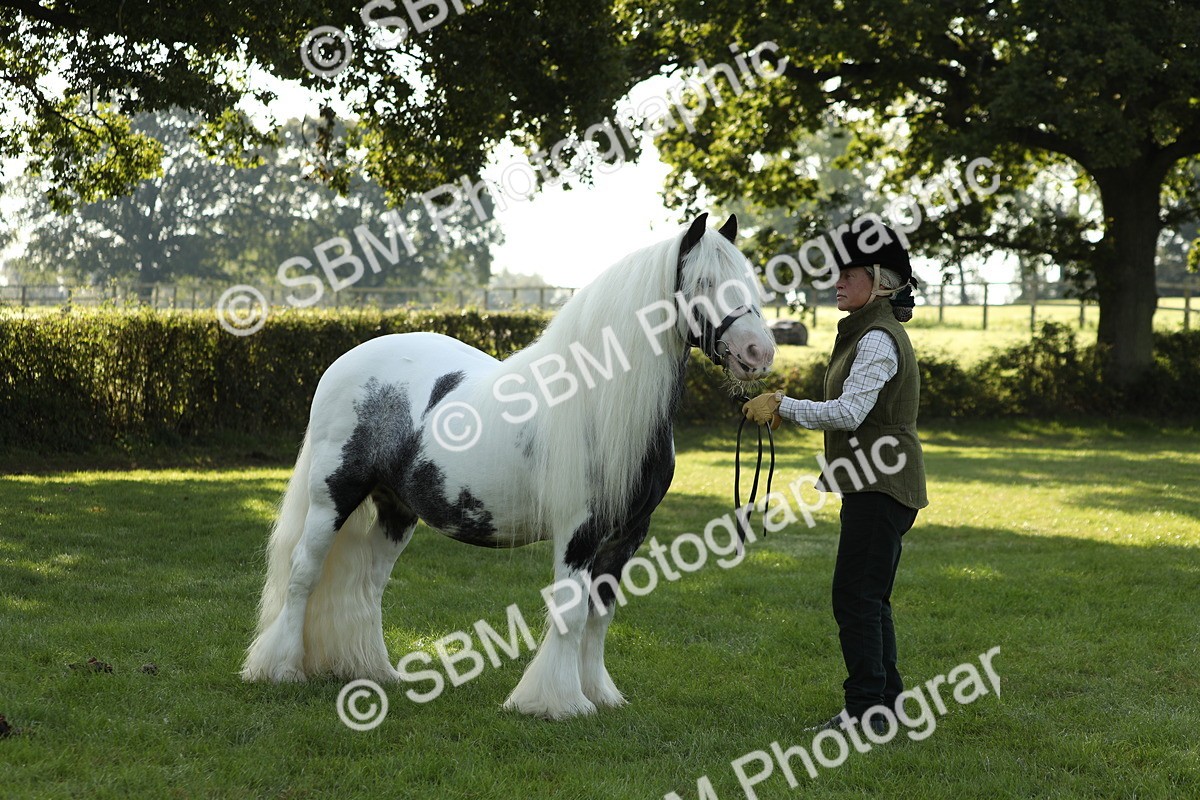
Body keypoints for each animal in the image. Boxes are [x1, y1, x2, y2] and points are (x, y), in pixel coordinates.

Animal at [240, 213, 776, 719]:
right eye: (704, 282)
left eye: (747, 279)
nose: (759, 353)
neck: (601, 402)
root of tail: (344, 362)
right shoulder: (578, 530)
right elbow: (571, 613)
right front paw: (557, 703)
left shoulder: (629, 533)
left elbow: (600, 613)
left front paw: (599, 694)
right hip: (332, 498)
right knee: (304, 574)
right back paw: (282, 669)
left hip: (396, 511)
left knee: (367, 586)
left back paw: (373, 671)